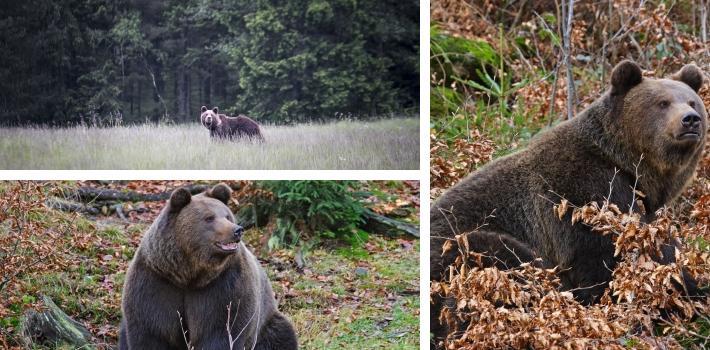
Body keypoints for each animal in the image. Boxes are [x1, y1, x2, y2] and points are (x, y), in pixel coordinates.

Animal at [432, 61, 708, 344]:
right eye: (662, 103)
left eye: (692, 101)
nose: (690, 119)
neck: (630, 168)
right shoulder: (585, 194)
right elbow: (608, 260)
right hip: (461, 249)